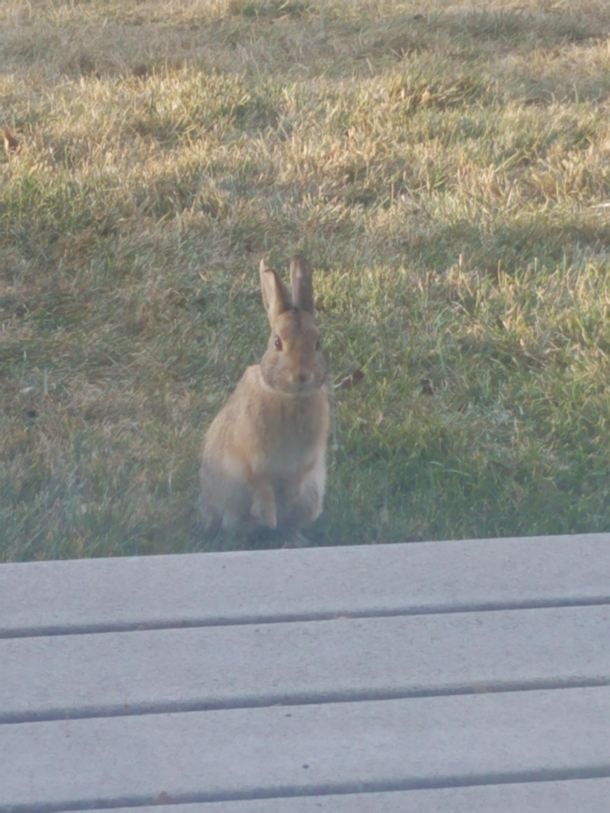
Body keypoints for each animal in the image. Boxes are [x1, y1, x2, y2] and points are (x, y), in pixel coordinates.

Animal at [200, 254, 328, 544]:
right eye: (278, 343)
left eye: (317, 343)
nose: (301, 376)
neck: (289, 397)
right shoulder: (248, 458)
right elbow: (260, 483)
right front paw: (269, 516)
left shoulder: (307, 459)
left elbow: (297, 478)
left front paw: (288, 500)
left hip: (313, 498)